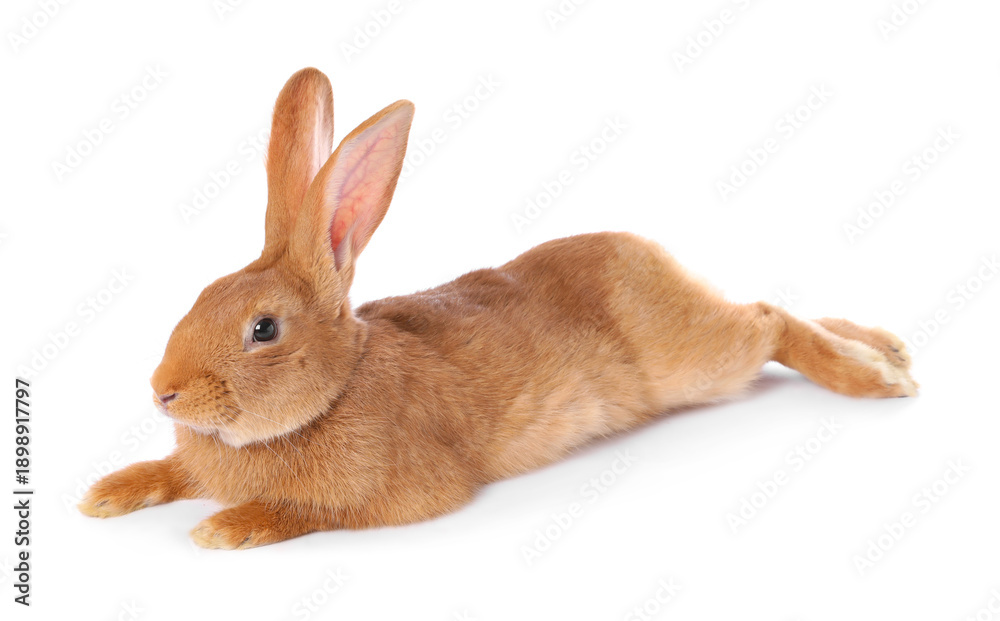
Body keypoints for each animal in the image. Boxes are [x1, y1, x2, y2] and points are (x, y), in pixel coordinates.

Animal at [78, 67, 918, 549]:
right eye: (197, 297)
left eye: (263, 328)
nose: (163, 392)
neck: (338, 385)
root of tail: (651, 256)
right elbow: (173, 469)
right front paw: (109, 492)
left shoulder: (404, 492)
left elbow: (315, 511)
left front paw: (227, 526)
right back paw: (889, 346)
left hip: (697, 362)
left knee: (770, 318)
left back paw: (877, 377)